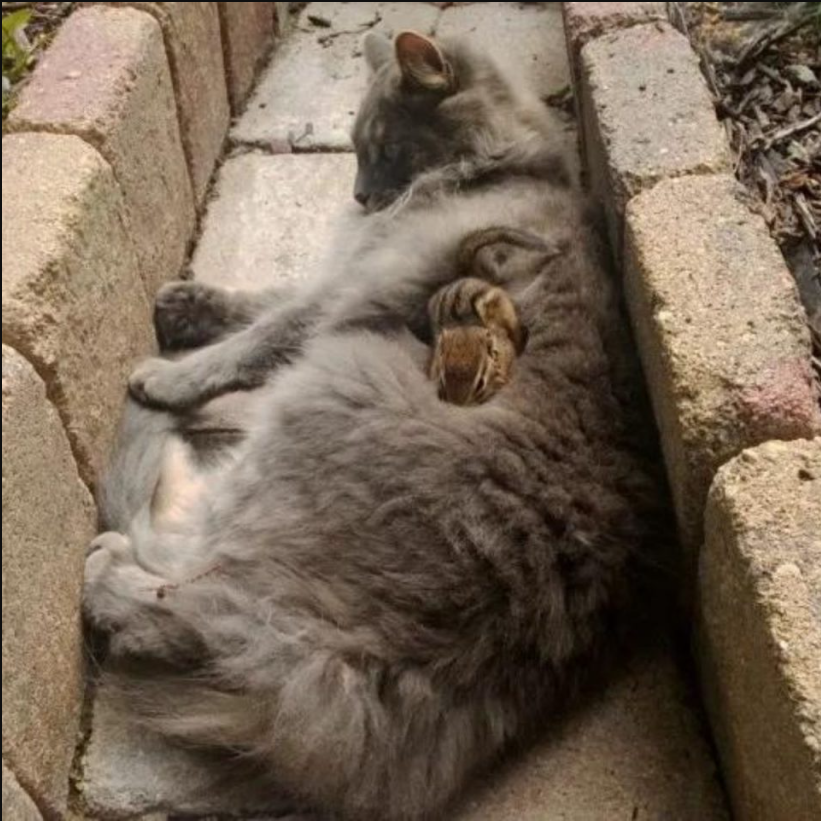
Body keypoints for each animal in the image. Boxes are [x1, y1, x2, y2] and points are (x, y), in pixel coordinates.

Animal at [85, 28, 668, 820]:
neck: (494, 166)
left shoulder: (352, 290)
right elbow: (268, 297)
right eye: (355, 150)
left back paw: (115, 555)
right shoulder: (342, 275)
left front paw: (168, 376)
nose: (359, 197)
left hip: (325, 388)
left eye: (384, 148)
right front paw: (189, 304)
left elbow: (257, 336)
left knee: (185, 582)